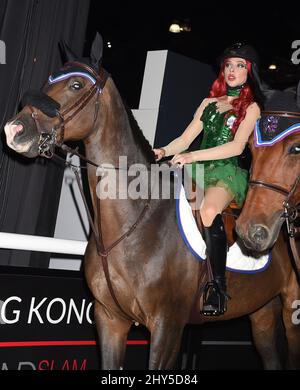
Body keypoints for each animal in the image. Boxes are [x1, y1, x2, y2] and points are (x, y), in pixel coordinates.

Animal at [2, 32, 300, 368]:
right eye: (48, 80)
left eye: (76, 85)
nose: (15, 130)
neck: (134, 222)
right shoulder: (109, 320)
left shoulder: (167, 327)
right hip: (262, 311)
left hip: (291, 310)